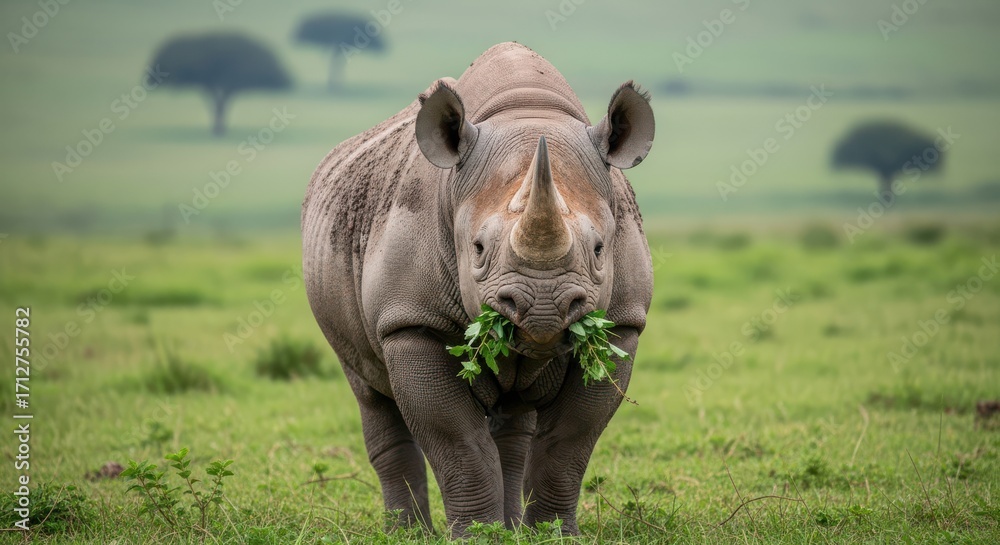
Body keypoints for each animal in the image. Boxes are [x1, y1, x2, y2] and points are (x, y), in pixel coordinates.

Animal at [302, 42, 654, 536]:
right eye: (479, 249)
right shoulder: (410, 320)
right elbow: (456, 438)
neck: (528, 112)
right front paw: (474, 535)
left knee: (515, 424)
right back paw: (410, 533)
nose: (543, 309)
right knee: (369, 391)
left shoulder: (622, 323)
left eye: (601, 249)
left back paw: (511, 528)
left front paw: (552, 534)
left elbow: (572, 439)